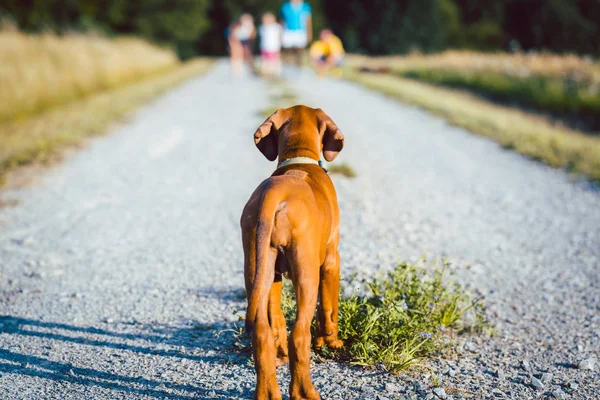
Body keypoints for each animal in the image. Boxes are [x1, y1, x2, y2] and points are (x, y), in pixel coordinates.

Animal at [241, 106, 344, 400]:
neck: (299, 161)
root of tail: (275, 193)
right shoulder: (332, 259)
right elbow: (328, 308)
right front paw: (331, 340)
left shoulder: (274, 274)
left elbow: (275, 319)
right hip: (306, 272)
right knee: (299, 334)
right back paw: (305, 391)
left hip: (256, 266)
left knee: (262, 334)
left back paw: (267, 392)